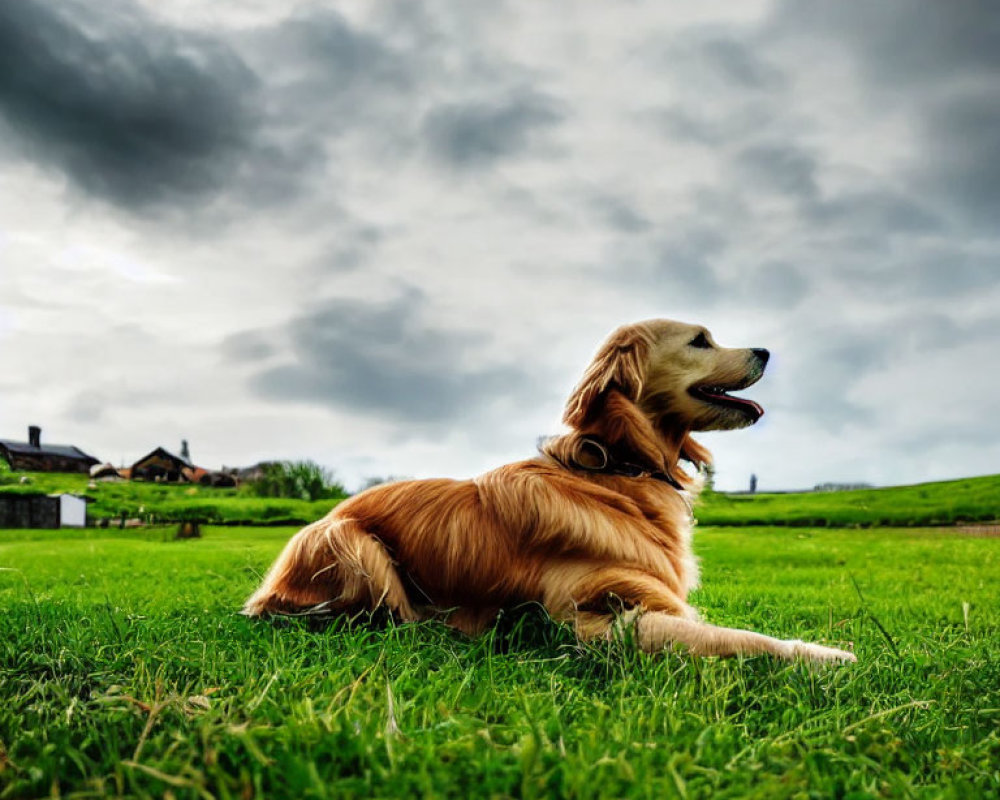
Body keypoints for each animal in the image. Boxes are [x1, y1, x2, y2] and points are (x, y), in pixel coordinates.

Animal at [246, 318, 856, 664]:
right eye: (700, 341)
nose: (766, 351)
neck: (621, 470)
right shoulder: (602, 620)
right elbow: (746, 638)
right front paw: (829, 656)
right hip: (350, 542)